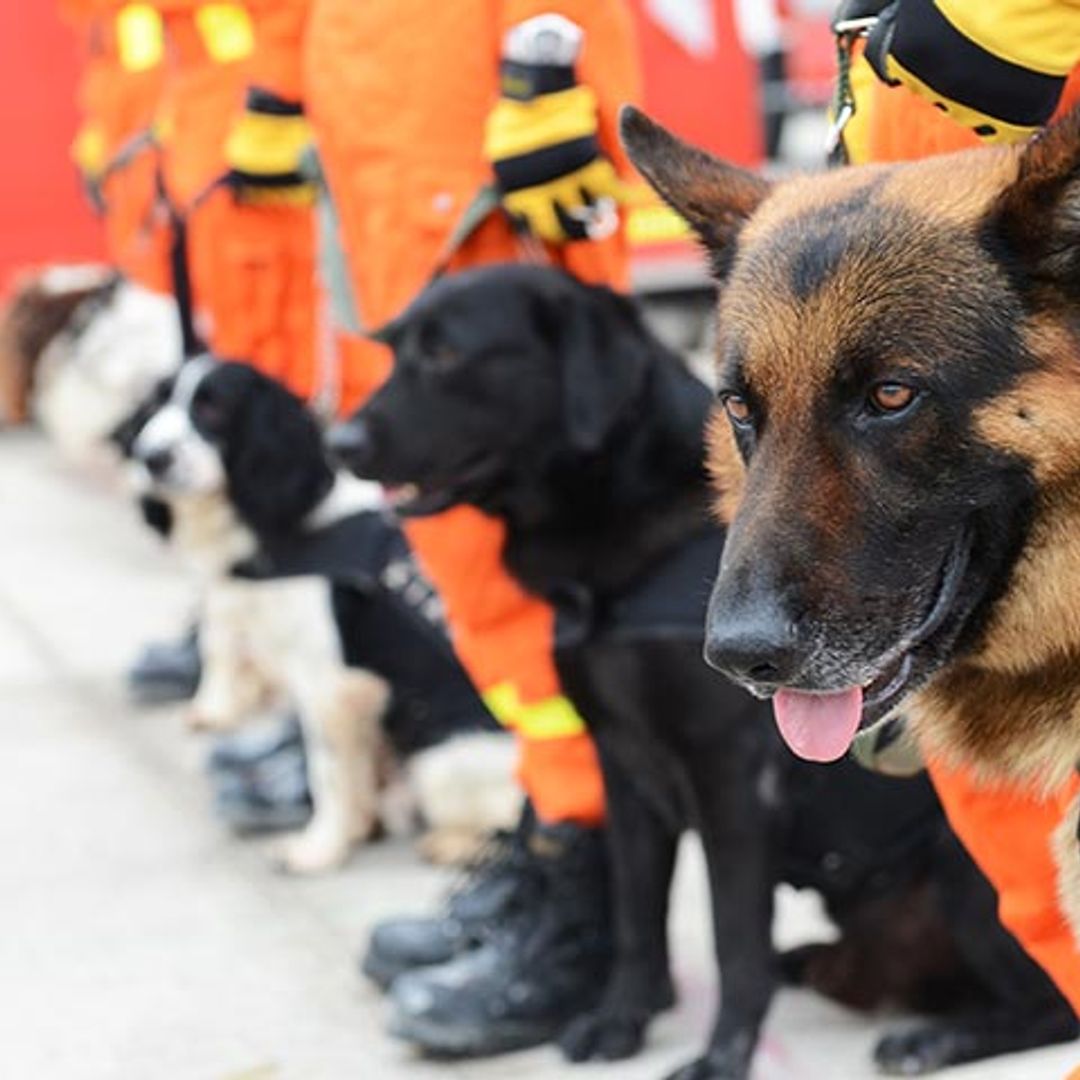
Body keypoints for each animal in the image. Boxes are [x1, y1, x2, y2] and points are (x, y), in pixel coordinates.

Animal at [129, 358, 518, 872]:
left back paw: (457, 842)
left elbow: (328, 773)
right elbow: (221, 644)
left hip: (444, 758)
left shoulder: (326, 684)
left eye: (213, 409)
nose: (150, 457)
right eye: (157, 402)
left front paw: (319, 849)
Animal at [326, 263, 1071, 1080]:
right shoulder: (623, 768)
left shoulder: (731, 783)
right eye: (396, 347)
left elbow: (733, 942)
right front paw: (620, 1019)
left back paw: (937, 1038)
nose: (338, 441)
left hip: (969, 875)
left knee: (1048, 1001)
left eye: (446, 355)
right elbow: (636, 914)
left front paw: (720, 1058)